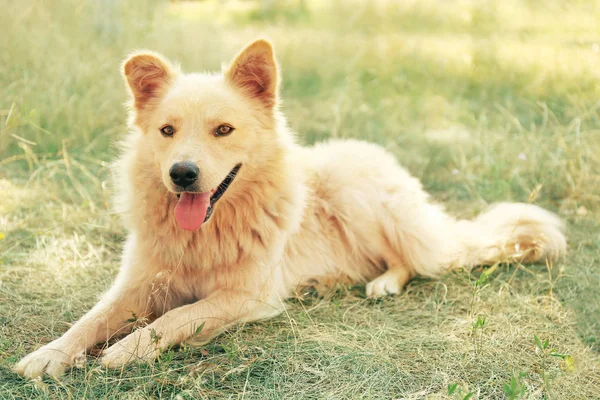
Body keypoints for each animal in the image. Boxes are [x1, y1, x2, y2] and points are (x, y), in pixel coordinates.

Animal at [14, 38, 568, 378]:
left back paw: (382, 283)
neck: (208, 231)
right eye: (167, 130)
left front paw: (127, 349)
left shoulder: (247, 296)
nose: (182, 174)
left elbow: (177, 317)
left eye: (223, 130)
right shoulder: (137, 284)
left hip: (354, 195)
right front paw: (49, 355)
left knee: (414, 260)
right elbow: (90, 319)